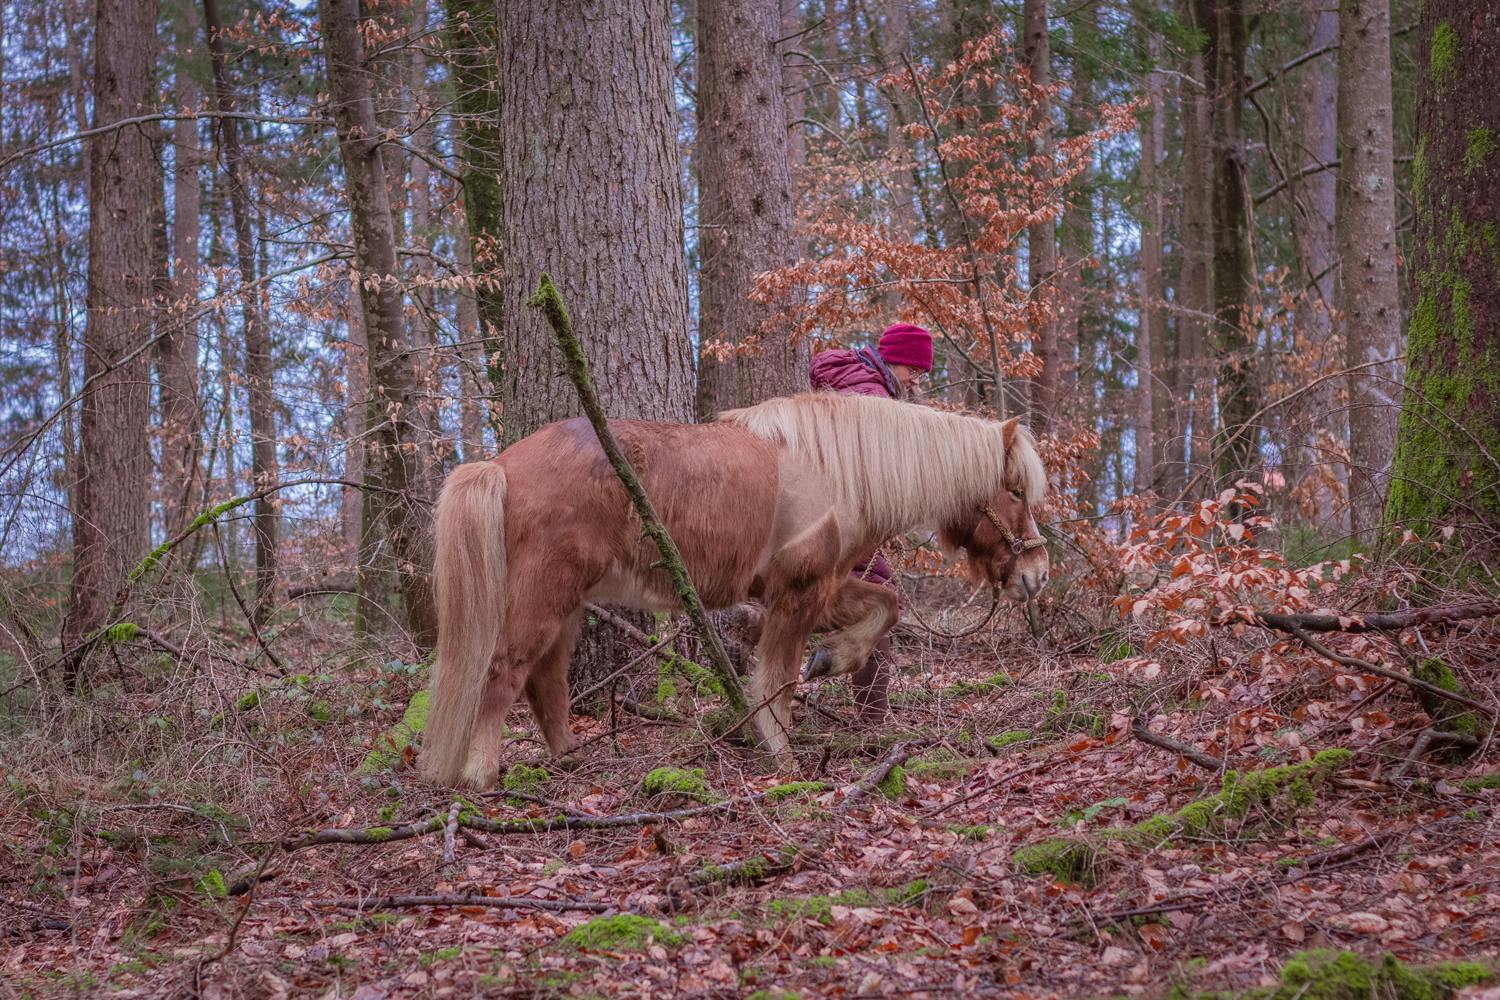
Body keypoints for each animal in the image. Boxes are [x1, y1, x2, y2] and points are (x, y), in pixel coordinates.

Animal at [417, 389, 1050, 791]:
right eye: (1016, 491)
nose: (1038, 573)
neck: (836, 472)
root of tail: (501, 464)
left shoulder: (819, 589)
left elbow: (884, 609)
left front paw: (833, 658)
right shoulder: (798, 593)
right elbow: (776, 677)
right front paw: (783, 754)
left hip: (567, 599)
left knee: (546, 678)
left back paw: (568, 760)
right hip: (545, 594)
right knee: (505, 669)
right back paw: (481, 775)